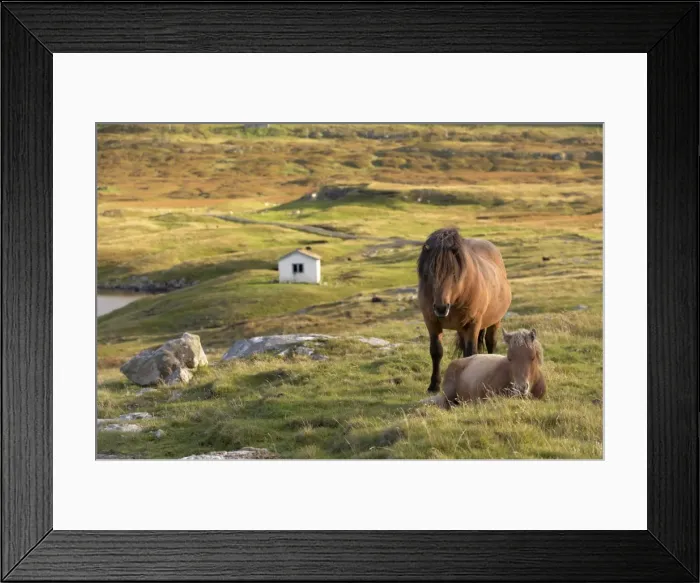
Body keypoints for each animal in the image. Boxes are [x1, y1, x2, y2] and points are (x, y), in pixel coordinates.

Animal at [417, 227, 511, 393]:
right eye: (429, 274)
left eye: (454, 273)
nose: (441, 308)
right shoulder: (432, 322)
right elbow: (436, 351)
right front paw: (434, 385)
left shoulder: (472, 324)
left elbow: (471, 353)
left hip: (494, 321)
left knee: (490, 343)